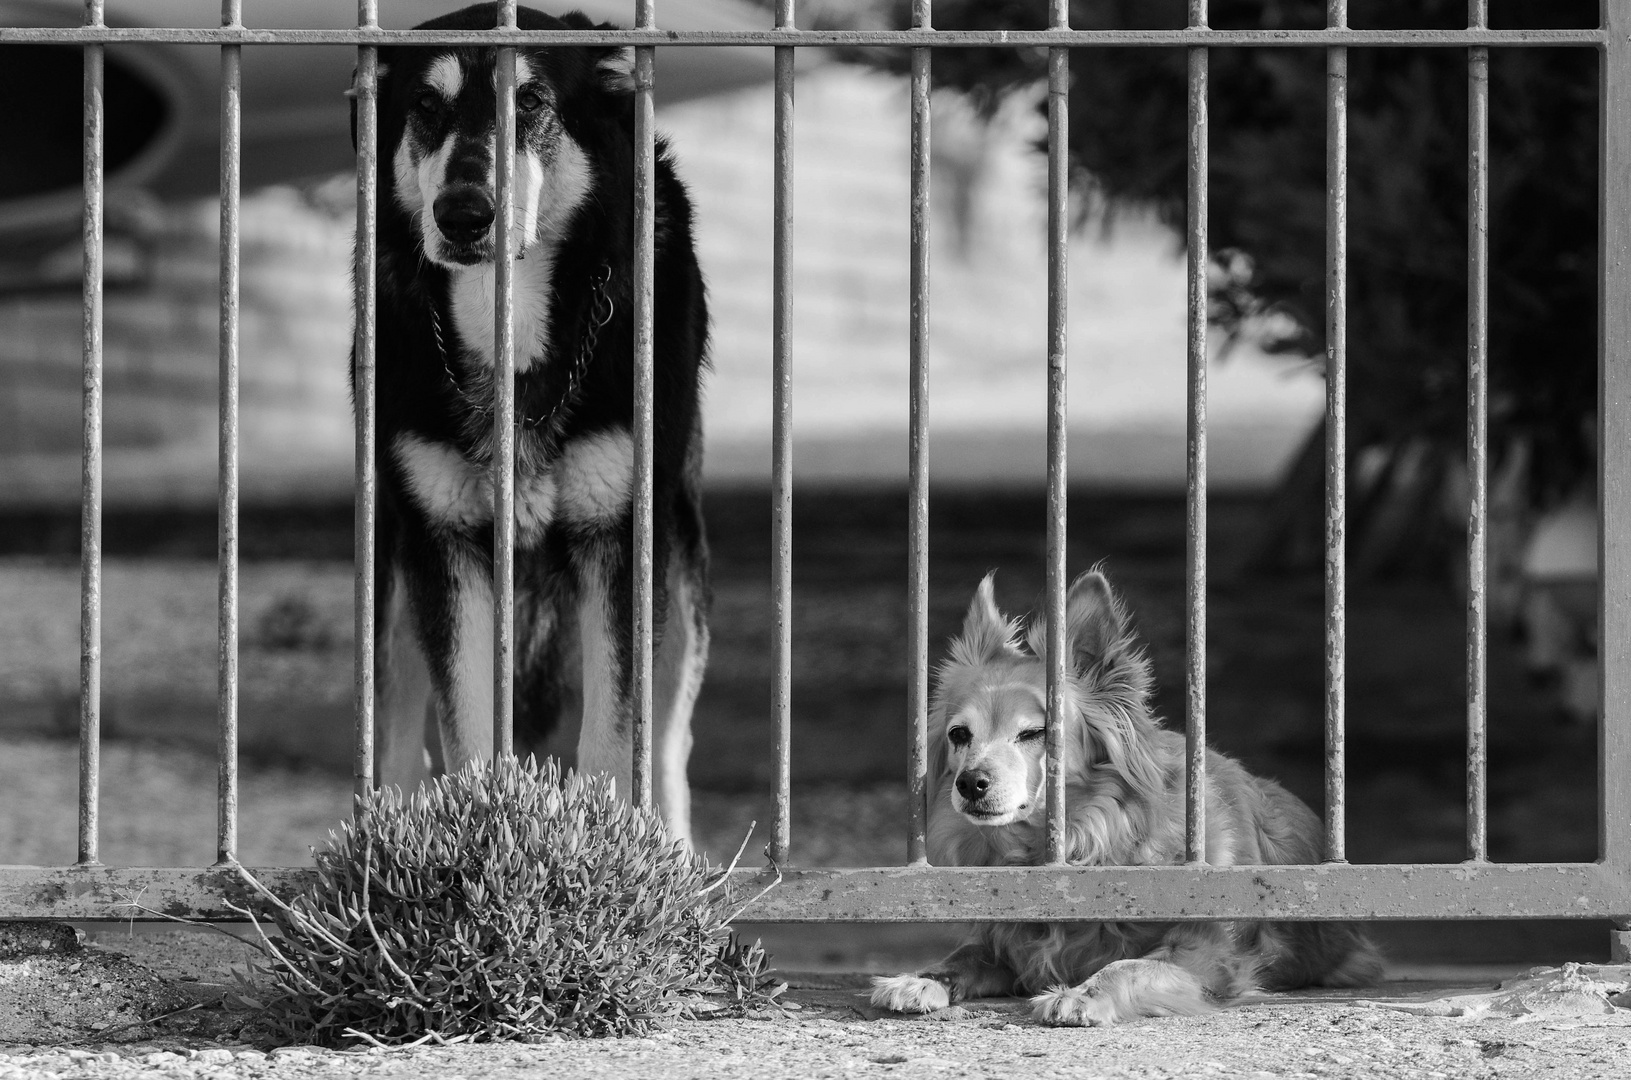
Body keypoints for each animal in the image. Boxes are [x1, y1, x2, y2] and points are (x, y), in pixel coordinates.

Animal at [353, 4, 711, 841]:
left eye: (532, 103)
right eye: (425, 106)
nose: (461, 216)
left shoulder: (621, 539)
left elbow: (616, 742)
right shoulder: (440, 540)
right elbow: (467, 735)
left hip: (679, 566)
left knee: (669, 746)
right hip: (392, 570)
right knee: (395, 734)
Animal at [874, 570, 1383, 1031]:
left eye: (1035, 733)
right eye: (960, 735)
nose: (969, 783)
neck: (1087, 841)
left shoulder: (1209, 955)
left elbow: (1130, 965)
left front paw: (1081, 994)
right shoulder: (1006, 945)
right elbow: (964, 955)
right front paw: (921, 978)